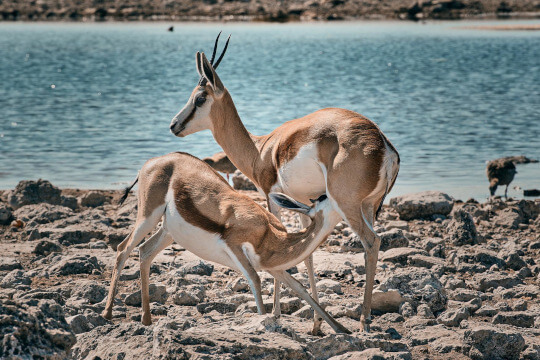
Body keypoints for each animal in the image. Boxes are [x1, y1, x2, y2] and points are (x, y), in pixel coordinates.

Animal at [101, 152, 350, 334]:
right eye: (324, 196)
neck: (270, 236)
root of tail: (154, 161)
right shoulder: (236, 248)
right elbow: (255, 281)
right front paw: (263, 325)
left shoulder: (274, 268)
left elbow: (300, 288)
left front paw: (341, 329)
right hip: (147, 217)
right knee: (123, 249)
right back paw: (107, 314)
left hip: (169, 231)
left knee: (144, 251)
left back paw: (146, 319)